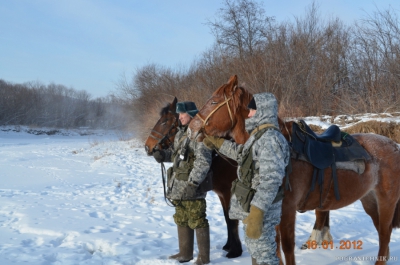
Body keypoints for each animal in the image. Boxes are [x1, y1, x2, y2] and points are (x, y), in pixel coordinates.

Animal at [189, 75, 400, 264]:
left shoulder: (287, 211)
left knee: (384, 234)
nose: (191, 128)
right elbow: (275, 249)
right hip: (369, 201)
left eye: (214, 101)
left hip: (386, 202)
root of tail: (393, 145)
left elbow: (287, 248)